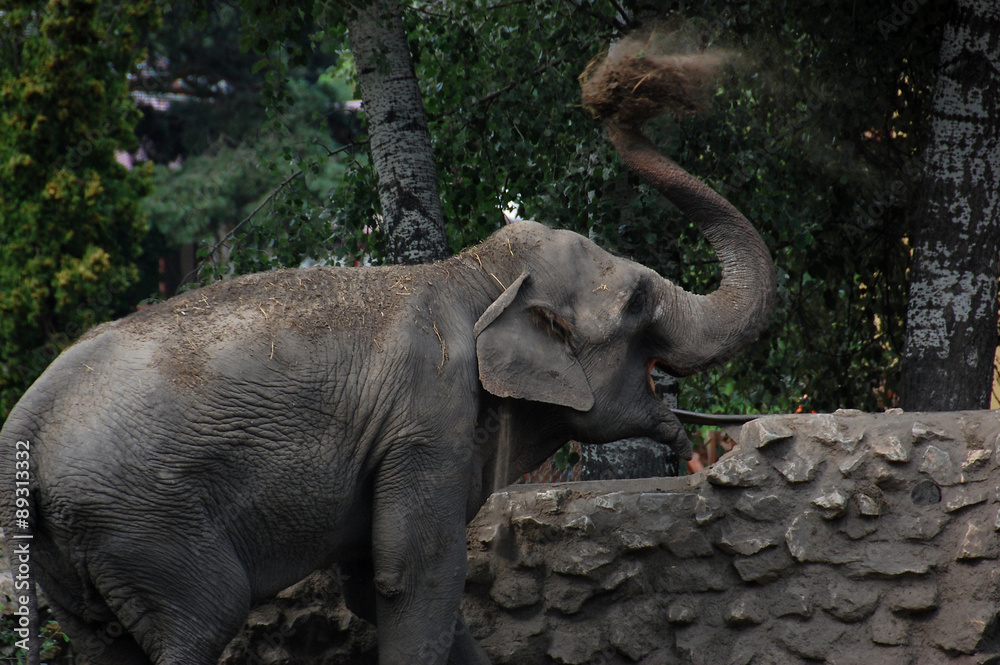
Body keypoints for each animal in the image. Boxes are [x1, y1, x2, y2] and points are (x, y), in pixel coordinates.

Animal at [0, 47, 775, 665]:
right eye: (640, 301)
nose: (619, 95)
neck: (475, 276)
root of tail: (24, 424)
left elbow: (375, 584)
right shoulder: (427, 423)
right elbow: (415, 575)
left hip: (74, 551)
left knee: (107, 641)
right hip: (146, 524)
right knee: (203, 619)